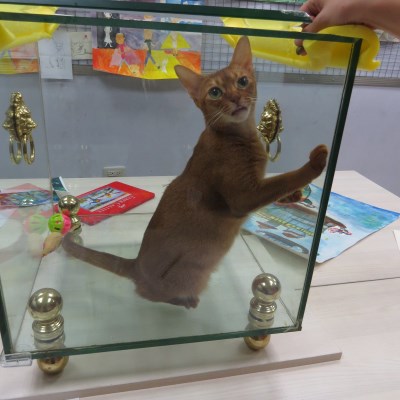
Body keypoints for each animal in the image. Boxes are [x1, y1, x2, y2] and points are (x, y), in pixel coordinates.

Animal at [62, 36, 328, 309]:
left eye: (242, 81)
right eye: (215, 92)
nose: (236, 98)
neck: (242, 136)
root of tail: (136, 264)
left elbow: (278, 187)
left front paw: (295, 197)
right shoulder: (244, 197)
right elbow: (282, 180)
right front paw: (315, 163)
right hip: (190, 274)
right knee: (146, 292)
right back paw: (185, 301)